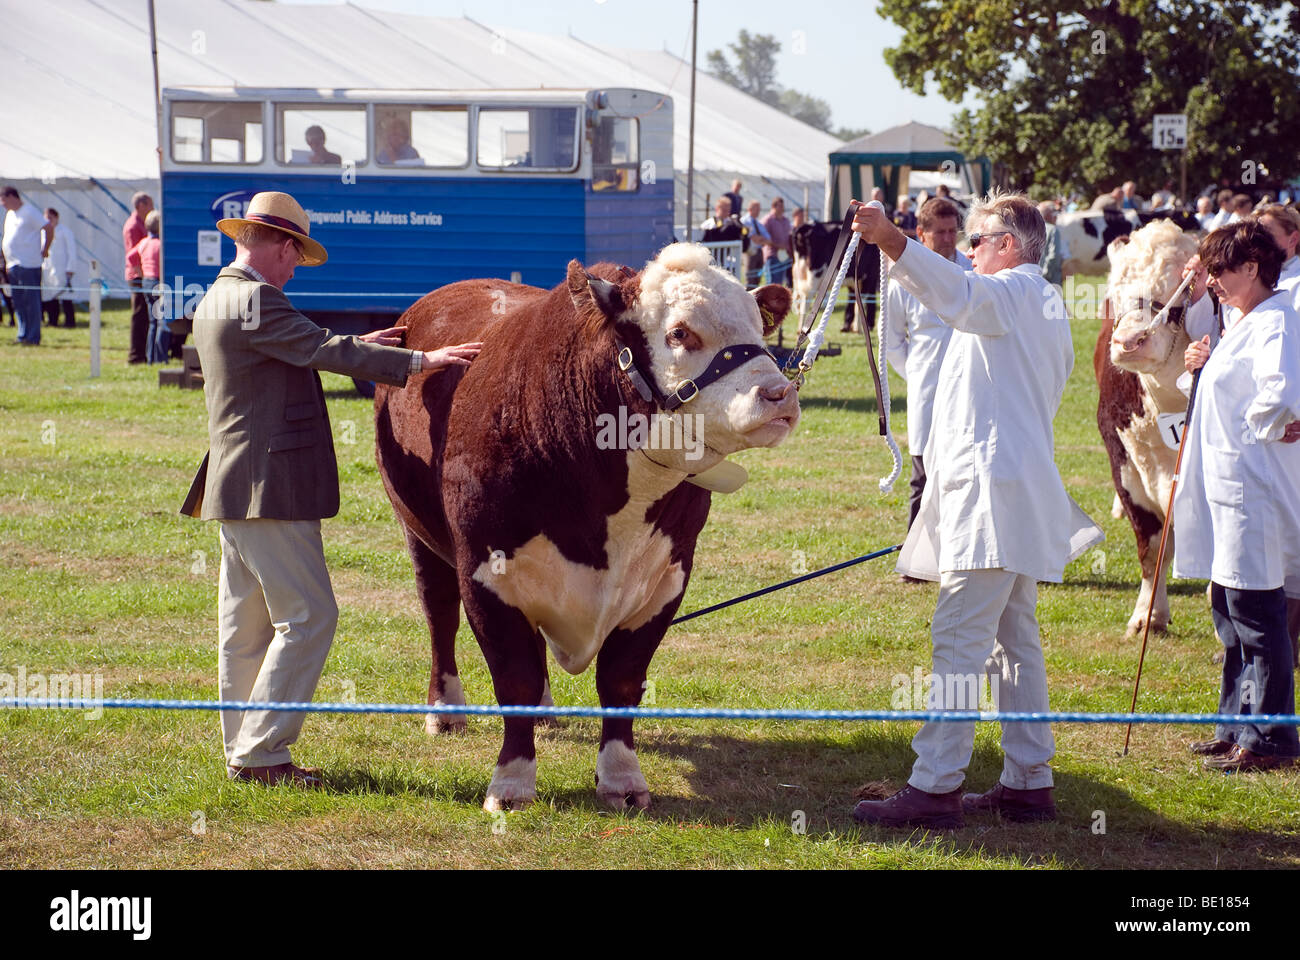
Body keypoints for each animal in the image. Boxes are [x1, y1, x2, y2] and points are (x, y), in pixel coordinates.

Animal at [377, 240, 795, 806]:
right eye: (679, 333)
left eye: (758, 324)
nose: (779, 395)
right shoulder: (484, 570)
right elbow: (513, 677)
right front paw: (512, 782)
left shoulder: (667, 576)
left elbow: (620, 681)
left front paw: (622, 778)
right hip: (418, 533)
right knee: (439, 615)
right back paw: (445, 710)